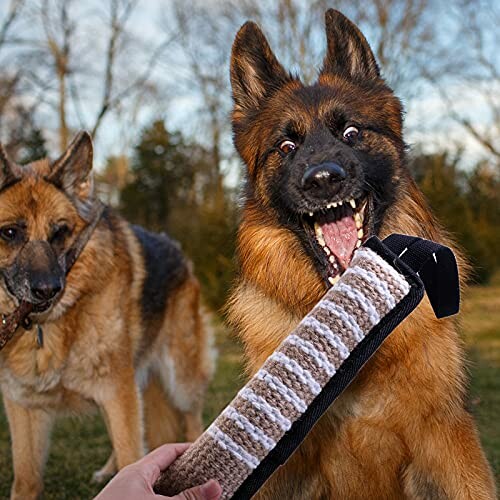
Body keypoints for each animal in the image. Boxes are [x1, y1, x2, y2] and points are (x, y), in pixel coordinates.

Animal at [0, 131, 213, 498]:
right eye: (10, 233)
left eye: (60, 232)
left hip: (180, 377)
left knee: (191, 419)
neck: (48, 328)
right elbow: (26, 480)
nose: (48, 290)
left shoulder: (117, 390)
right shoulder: (23, 406)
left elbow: (132, 454)